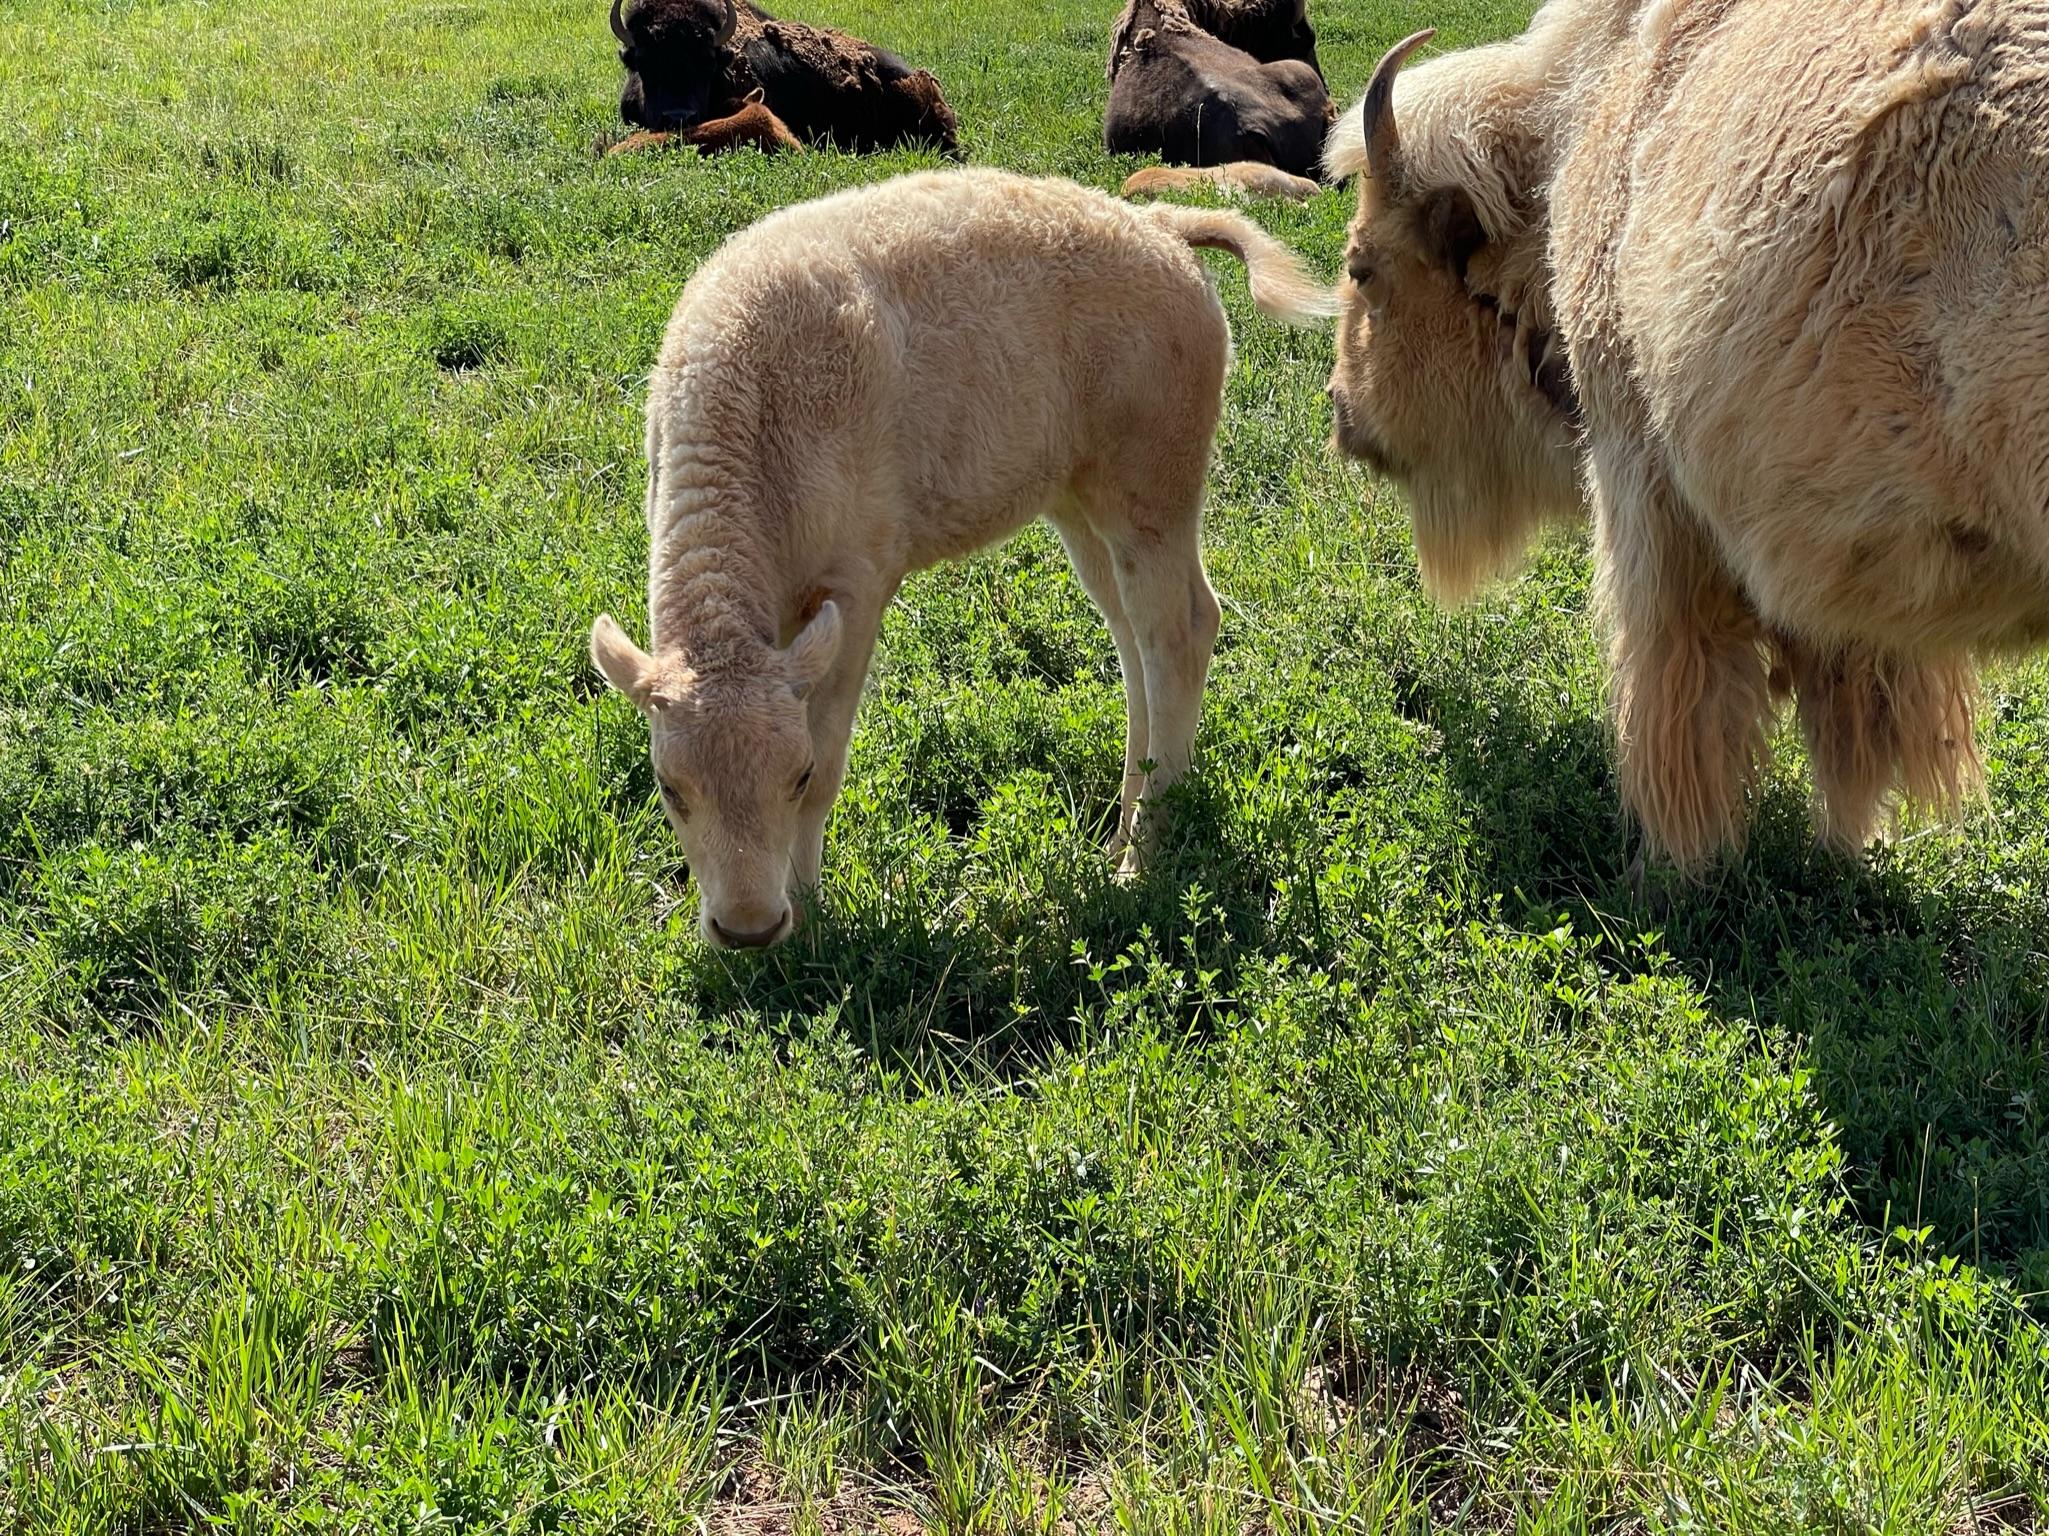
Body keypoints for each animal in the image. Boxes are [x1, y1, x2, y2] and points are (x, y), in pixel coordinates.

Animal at [594, 165, 1327, 937]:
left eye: (793, 776)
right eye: (669, 787)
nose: (748, 928)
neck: (753, 409)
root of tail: (1161, 226)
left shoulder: (856, 589)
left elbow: (831, 752)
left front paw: (815, 918)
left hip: (1151, 496)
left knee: (1181, 628)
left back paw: (1141, 858)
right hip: (1078, 504)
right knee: (1133, 640)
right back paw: (1119, 837)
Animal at [1327, 0, 2049, 872]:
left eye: (1362, 270)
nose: (1341, 415)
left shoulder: (1643, 488)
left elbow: (1674, 691)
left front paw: (1672, 863)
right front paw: (1852, 841)